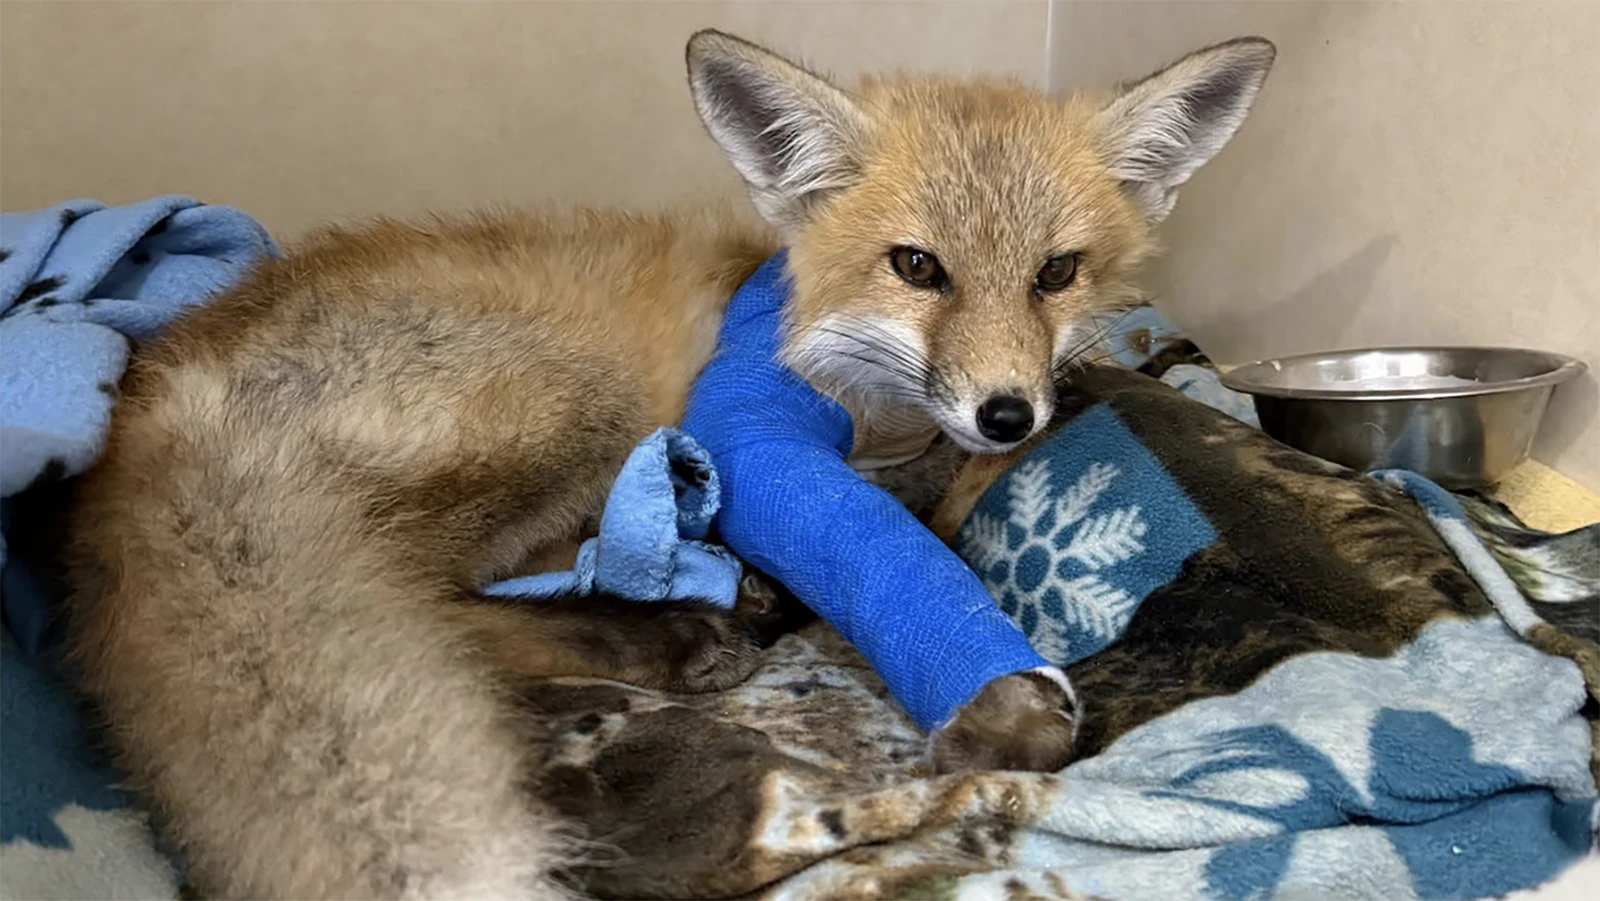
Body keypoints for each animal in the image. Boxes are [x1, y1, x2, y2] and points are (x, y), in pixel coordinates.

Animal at [56, 28, 1274, 901]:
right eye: (918, 267)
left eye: (1057, 272)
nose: (1010, 413)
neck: (857, 391)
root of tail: (147, 399)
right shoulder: (751, 437)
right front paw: (1004, 703)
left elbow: (947, 489)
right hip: (575, 402)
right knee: (436, 609)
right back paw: (666, 634)